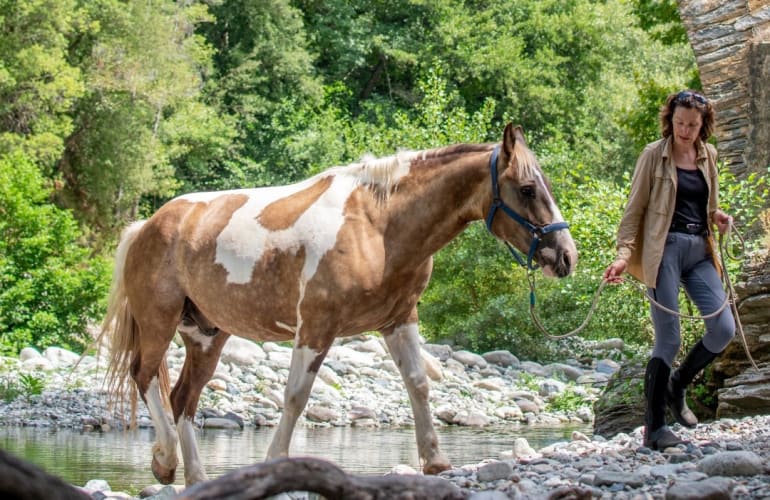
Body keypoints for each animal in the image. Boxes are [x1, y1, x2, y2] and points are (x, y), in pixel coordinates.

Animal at [100, 123, 577, 487]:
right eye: (528, 189)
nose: (566, 256)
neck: (377, 226)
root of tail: (148, 225)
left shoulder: (399, 320)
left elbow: (418, 384)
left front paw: (436, 461)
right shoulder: (316, 326)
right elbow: (295, 396)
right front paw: (275, 461)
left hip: (207, 335)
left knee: (183, 397)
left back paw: (196, 479)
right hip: (159, 322)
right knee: (144, 376)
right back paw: (165, 462)